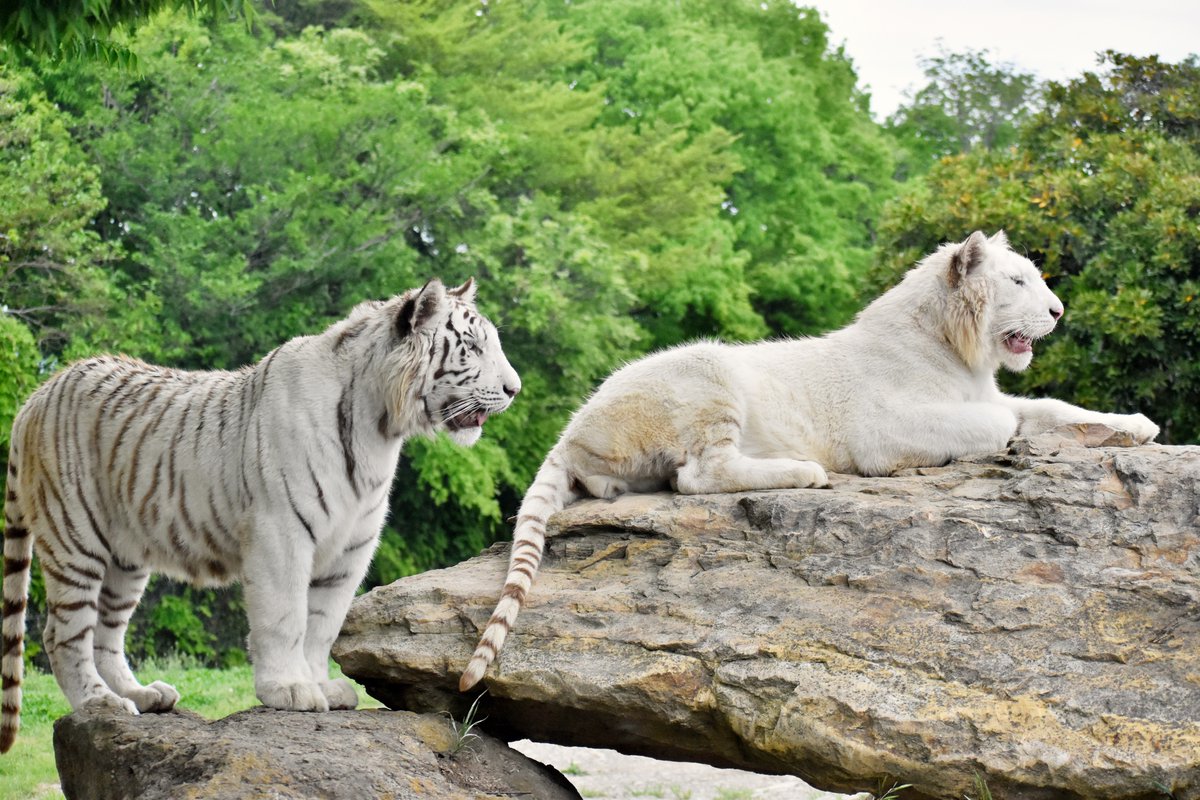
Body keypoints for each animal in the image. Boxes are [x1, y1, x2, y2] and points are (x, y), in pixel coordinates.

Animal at [4, 277, 520, 753]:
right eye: (473, 347)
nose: (514, 389)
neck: (379, 428)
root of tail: (38, 394)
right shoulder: (282, 533)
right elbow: (285, 617)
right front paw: (288, 690)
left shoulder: (351, 549)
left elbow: (322, 624)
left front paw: (321, 685)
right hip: (75, 538)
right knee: (63, 633)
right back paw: (100, 702)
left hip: (126, 557)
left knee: (106, 633)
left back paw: (142, 695)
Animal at [456, 230, 1152, 690]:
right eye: (1018, 282)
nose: (1059, 311)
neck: (960, 351)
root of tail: (572, 428)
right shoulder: (883, 429)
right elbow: (997, 421)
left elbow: (1051, 407)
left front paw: (1137, 427)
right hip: (709, 374)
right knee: (697, 475)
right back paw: (803, 472)